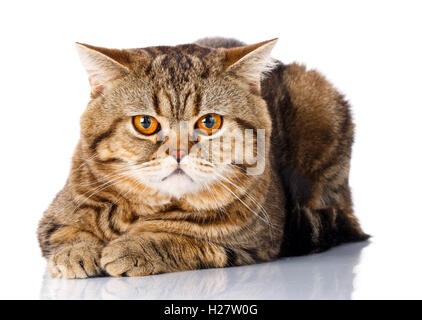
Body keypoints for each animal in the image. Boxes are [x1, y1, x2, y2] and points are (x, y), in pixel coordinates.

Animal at [39, 37, 370, 278]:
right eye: (145, 123)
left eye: (210, 122)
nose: (178, 152)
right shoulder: (54, 216)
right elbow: (67, 231)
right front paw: (76, 252)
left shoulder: (257, 242)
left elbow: (186, 240)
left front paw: (135, 247)